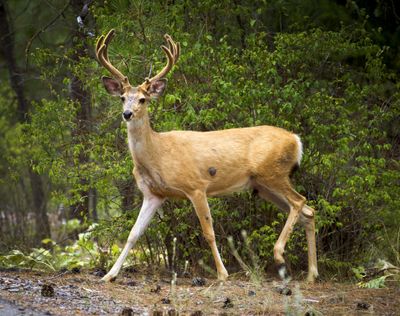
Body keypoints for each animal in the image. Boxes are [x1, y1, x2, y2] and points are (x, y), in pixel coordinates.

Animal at [94, 29, 318, 282]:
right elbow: (133, 233)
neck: (157, 153)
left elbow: (208, 231)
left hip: (273, 173)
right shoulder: (153, 194)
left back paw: (280, 255)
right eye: (122, 97)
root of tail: (295, 139)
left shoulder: (196, 186)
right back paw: (311, 274)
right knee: (308, 212)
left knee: (299, 202)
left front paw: (222, 273)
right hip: (262, 186)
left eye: (143, 99)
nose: (127, 114)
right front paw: (109, 275)